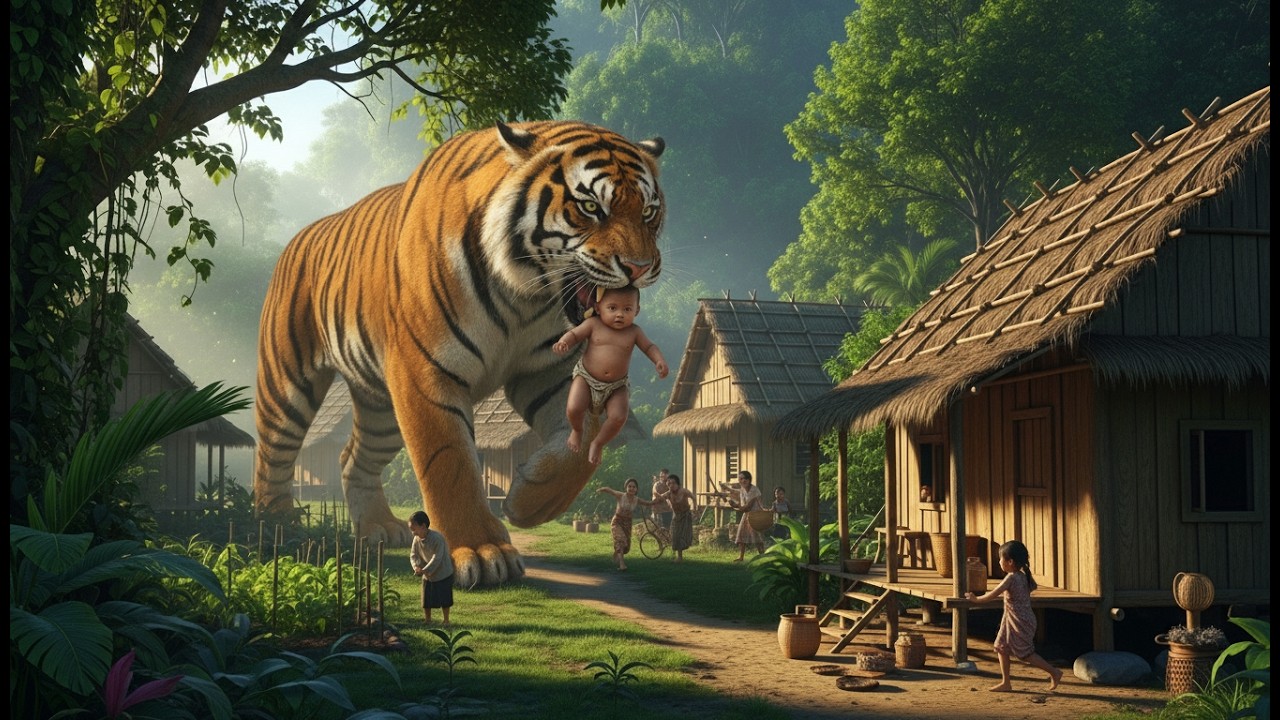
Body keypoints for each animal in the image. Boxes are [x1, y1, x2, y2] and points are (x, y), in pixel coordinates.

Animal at [253, 121, 665, 587]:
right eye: (591, 207)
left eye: (649, 212)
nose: (639, 268)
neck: (525, 297)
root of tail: (298, 237)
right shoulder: (426, 372)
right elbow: (449, 462)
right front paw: (483, 552)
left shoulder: (550, 370)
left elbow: (583, 444)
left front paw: (529, 500)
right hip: (287, 382)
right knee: (272, 455)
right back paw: (277, 526)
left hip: (381, 409)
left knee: (351, 457)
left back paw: (379, 527)